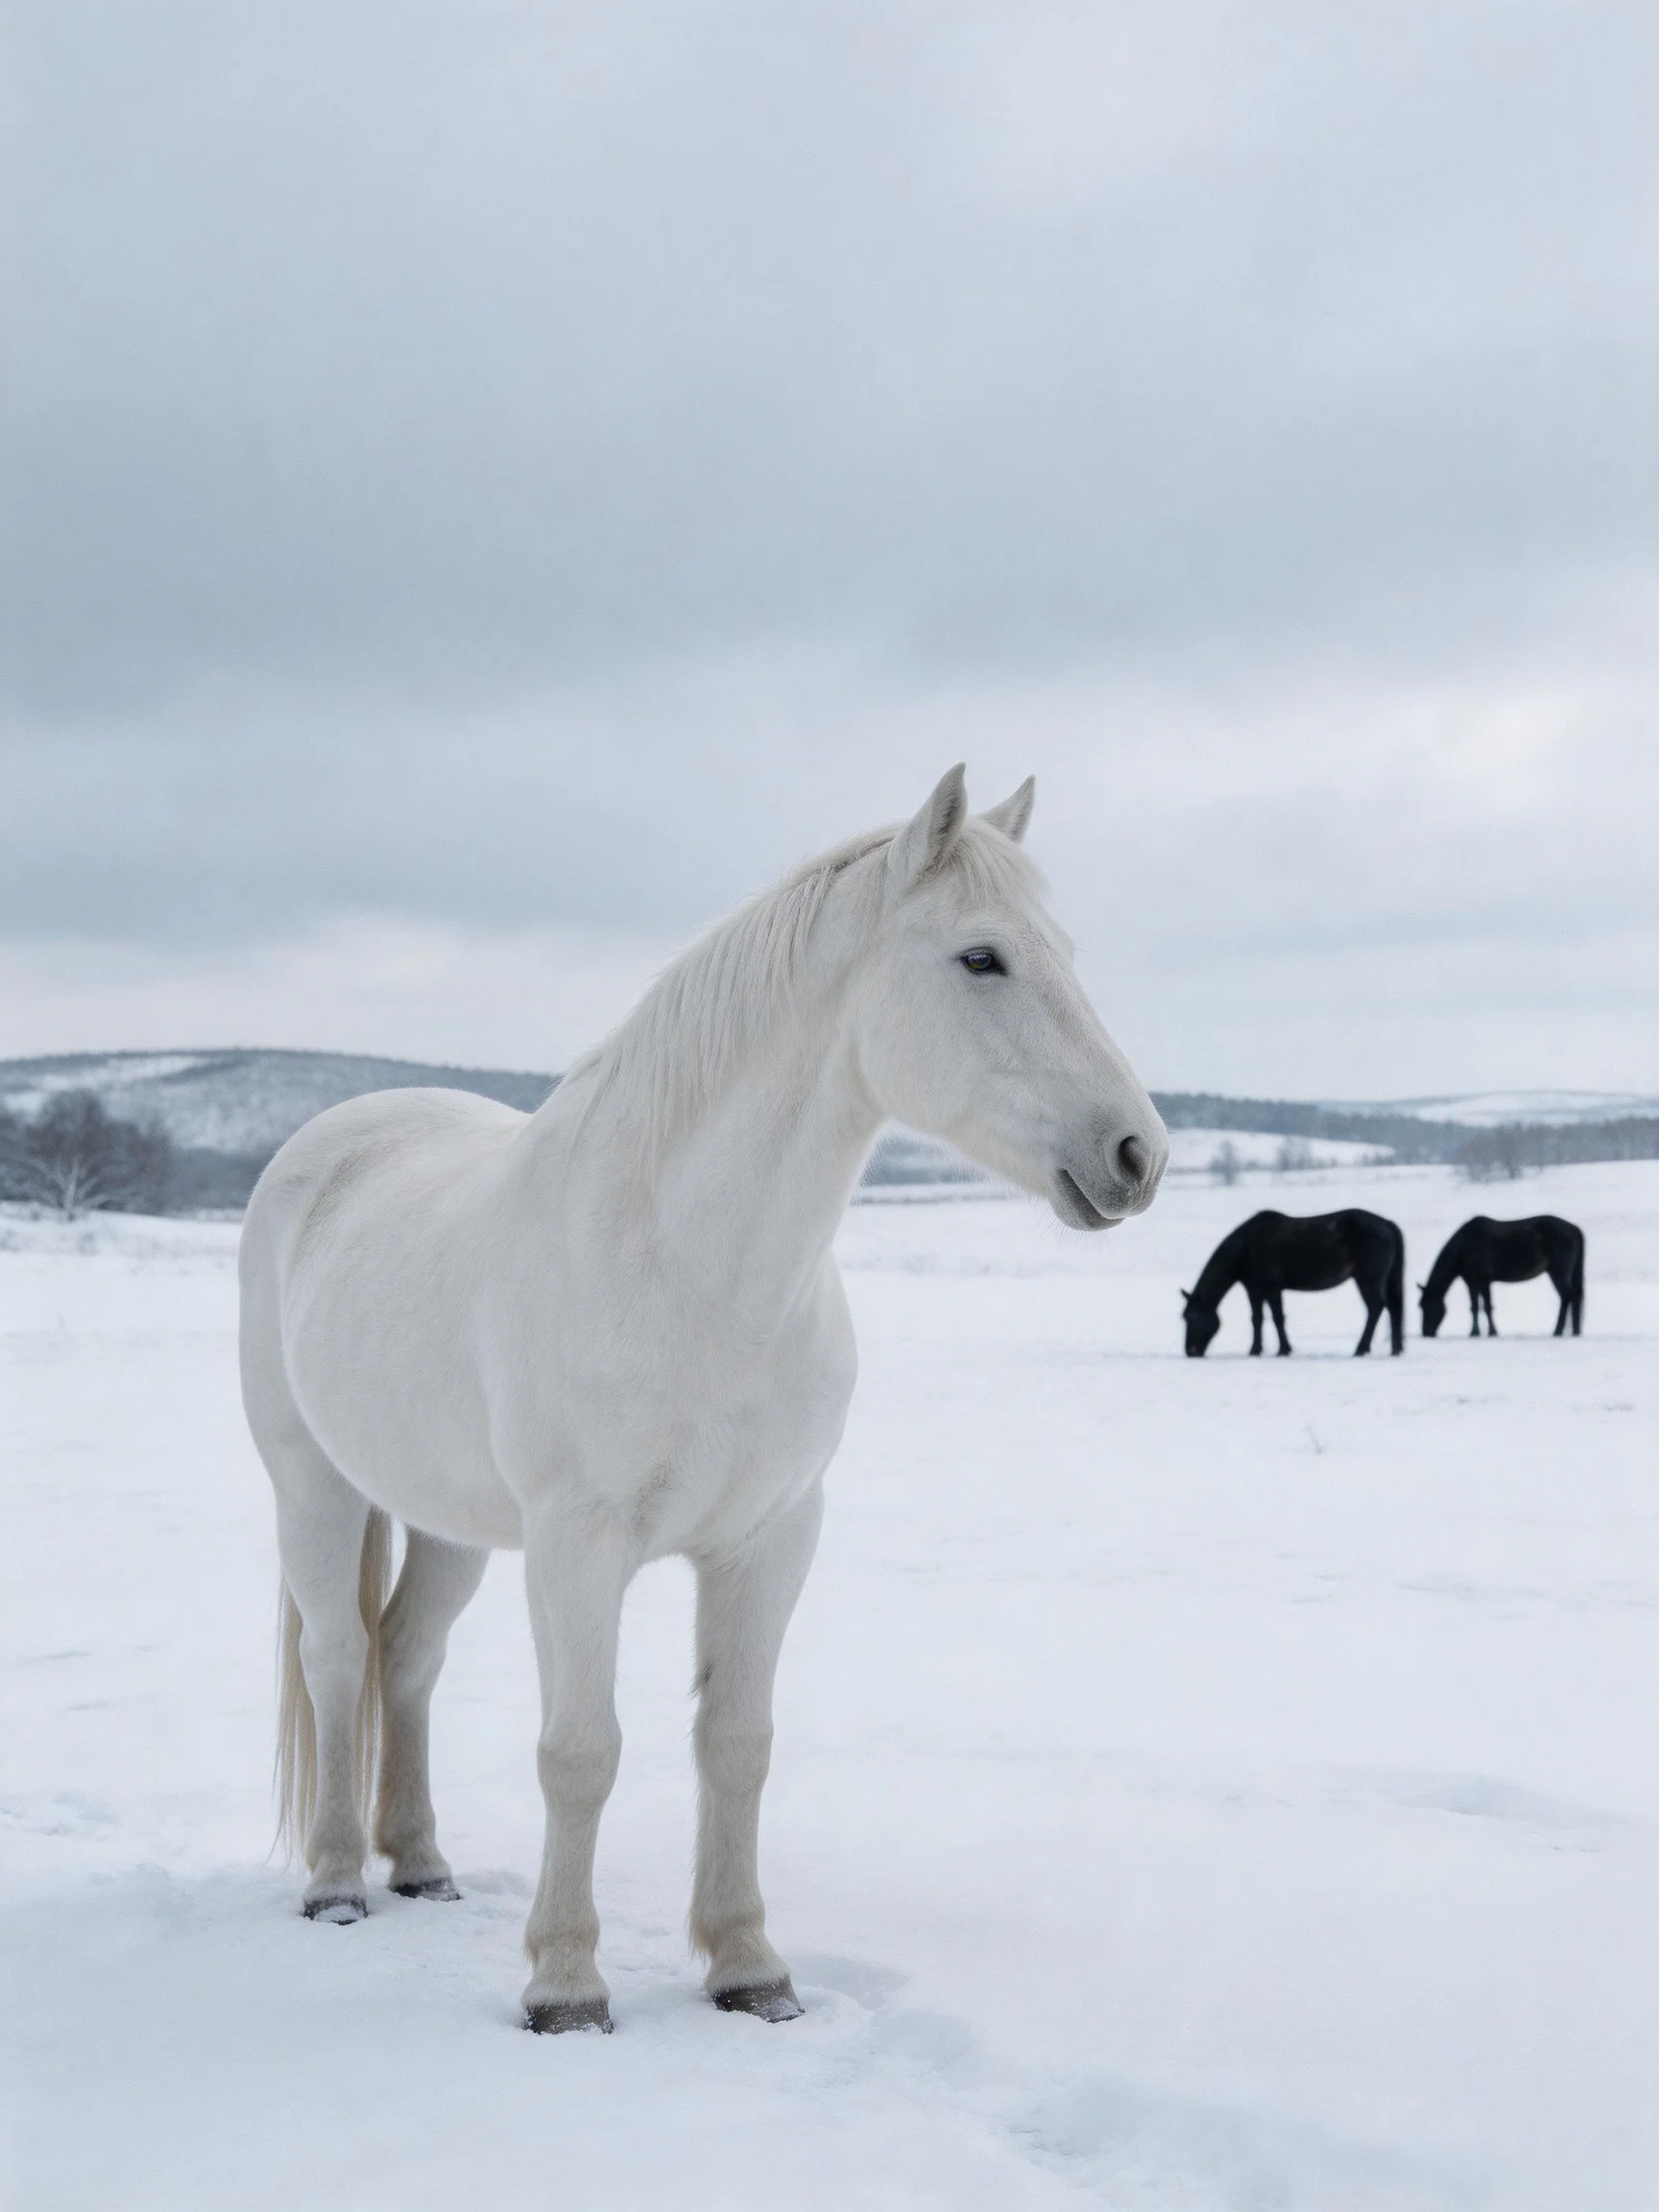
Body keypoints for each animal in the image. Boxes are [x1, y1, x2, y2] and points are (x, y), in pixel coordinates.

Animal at [239, 767, 1168, 2034]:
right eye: (982, 958)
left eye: (1062, 949)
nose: (1138, 1156)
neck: (694, 1269)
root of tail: (331, 1139)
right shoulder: (577, 1548)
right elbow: (581, 1752)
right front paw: (566, 1985)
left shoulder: (769, 1538)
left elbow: (736, 1742)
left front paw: (748, 1969)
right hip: (313, 1486)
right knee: (340, 1656)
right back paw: (337, 1884)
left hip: (450, 1520)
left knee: (407, 1656)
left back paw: (421, 1864)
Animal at [1181, 1209, 1405, 1357]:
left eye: (1191, 1317)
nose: (1190, 1351)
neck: (1247, 1247)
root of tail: (1386, 1223)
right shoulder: (1255, 1290)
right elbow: (1258, 1319)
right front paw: (1259, 1350)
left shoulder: (1271, 1289)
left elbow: (1277, 1318)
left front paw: (1280, 1350)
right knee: (1393, 1308)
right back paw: (1395, 1349)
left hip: (1367, 1279)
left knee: (1376, 1307)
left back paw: (1361, 1348)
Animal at [1419, 1215, 1584, 1338]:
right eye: (1421, 1306)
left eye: (1426, 1305)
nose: (1426, 1333)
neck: (1466, 1245)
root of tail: (1574, 1228)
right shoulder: (1472, 1283)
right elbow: (1474, 1307)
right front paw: (1474, 1333)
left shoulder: (1484, 1282)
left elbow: (1487, 1307)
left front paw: (1492, 1332)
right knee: (1570, 1298)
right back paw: (1572, 1331)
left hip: (1558, 1272)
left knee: (1568, 1297)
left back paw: (1559, 1331)